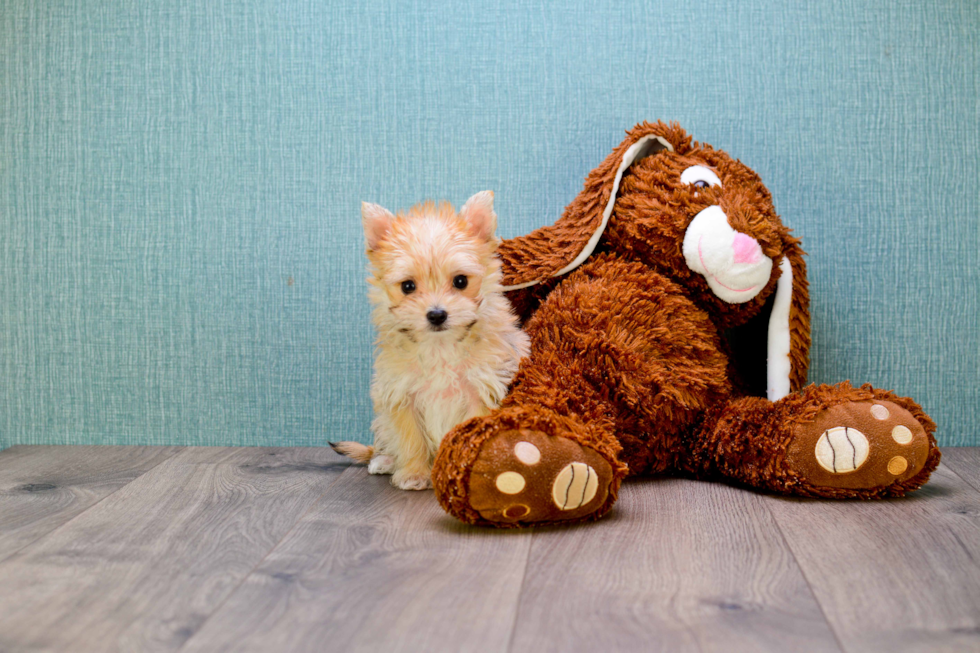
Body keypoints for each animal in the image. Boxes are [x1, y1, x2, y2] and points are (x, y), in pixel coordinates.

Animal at [330, 191, 528, 486]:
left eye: (460, 281)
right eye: (408, 286)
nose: (436, 314)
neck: (440, 346)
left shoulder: (481, 391)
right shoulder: (401, 393)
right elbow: (411, 437)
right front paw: (413, 473)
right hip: (384, 422)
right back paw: (385, 460)